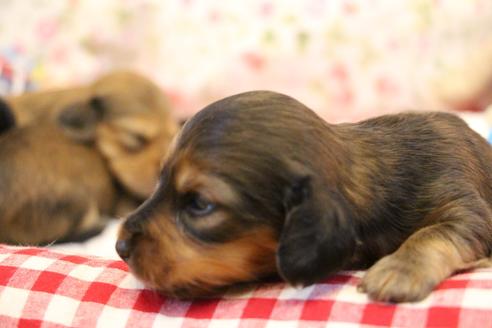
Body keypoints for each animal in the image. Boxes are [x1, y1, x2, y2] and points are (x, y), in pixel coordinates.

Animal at [117, 91, 492, 304]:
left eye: (199, 204)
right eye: (160, 181)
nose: (119, 248)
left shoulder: (464, 207)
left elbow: (433, 233)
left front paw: (399, 269)